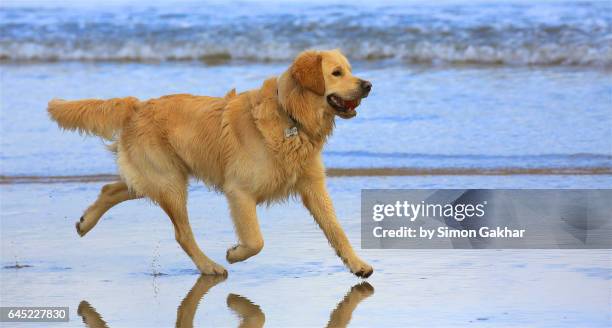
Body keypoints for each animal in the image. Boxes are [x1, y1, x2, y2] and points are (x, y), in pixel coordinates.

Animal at [47, 49, 372, 276]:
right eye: (337, 72)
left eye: (350, 70)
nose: (368, 84)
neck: (290, 117)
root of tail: (137, 106)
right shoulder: (239, 191)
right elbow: (256, 241)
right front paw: (234, 253)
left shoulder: (313, 186)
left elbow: (337, 230)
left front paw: (357, 264)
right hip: (170, 183)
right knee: (182, 233)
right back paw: (209, 266)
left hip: (157, 177)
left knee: (112, 188)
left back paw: (85, 222)